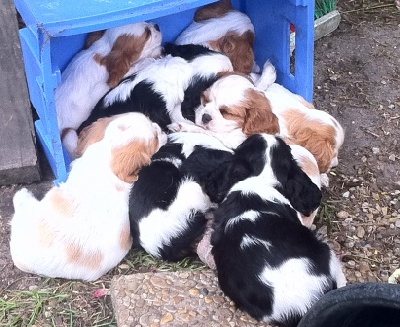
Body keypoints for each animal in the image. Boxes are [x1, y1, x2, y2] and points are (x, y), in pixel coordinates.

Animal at [58, 21, 162, 158]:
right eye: (147, 34)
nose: (157, 25)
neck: (104, 49)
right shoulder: (109, 83)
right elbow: (134, 67)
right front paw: (152, 56)